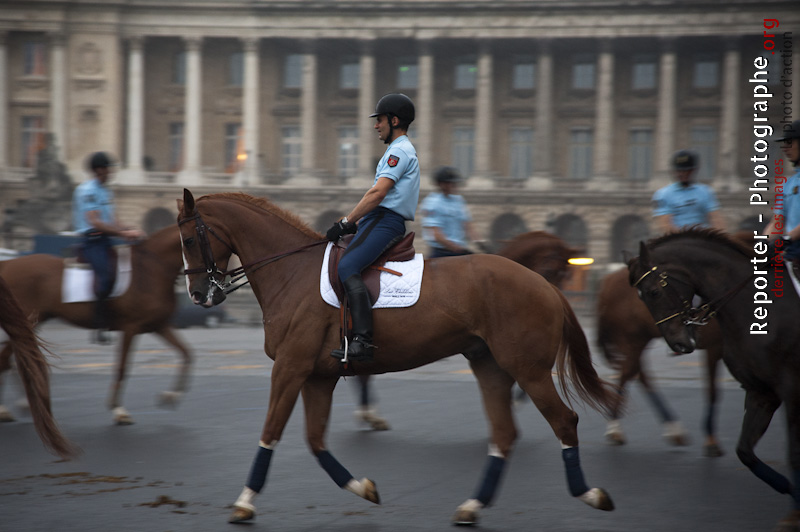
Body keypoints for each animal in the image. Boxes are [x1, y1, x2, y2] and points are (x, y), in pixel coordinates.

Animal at [0, 224, 192, 424]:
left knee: (12, 358)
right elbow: (122, 366)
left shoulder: (159, 326)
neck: (152, 269)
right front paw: (118, 409)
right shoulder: (131, 327)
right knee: (6, 360)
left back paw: (23, 403)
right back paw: (7, 408)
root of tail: (7, 264)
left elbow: (187, 354)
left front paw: (172, 395)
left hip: (31, 322)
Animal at [178, 189, 620, 524]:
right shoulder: (317, 376)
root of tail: (543, 285)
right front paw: (363, 487)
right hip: (490, 365)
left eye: (188, 240)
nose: (198, 295)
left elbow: (270, 432)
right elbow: (316, 442)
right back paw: (472, 506)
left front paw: (244, 501)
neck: (293, 272)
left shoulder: (291, 368)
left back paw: (590, 494)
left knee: (563, 421)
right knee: (505, 434)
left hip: (527, 369)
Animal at [592, 268, 724, 456]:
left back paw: (672, 429)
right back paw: (614, 428)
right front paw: (711, 440)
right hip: (633, 338)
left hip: (639, 339)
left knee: (637, 374)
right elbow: (713, 391)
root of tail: (609, 279)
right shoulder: (715, 346)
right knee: (629, 373)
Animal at [632, 230, 800, 532]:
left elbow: (793, 453)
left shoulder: (791, 390)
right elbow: (744, 451)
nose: (677, 343)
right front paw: (787, 489)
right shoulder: (761, 392)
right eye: (642, 297)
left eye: (653, 292)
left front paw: (794, 511)